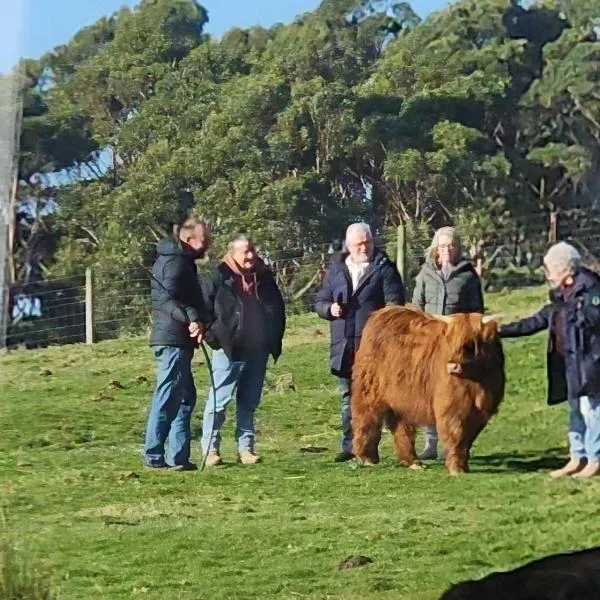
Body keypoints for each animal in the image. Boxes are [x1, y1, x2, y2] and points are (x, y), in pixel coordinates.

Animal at [350, 308, 504, 476]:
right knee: (366, 418)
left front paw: (464, 466)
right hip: (369, 389)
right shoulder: (451, 406)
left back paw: (413, 462)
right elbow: (456, 434)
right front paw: (456, 468)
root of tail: (382, 312)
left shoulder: (481, 411)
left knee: (401, 428)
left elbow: (468, 439)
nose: (452, 367)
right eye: (450, 343)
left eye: (470, 345)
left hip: (403, 399)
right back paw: (367, 458)